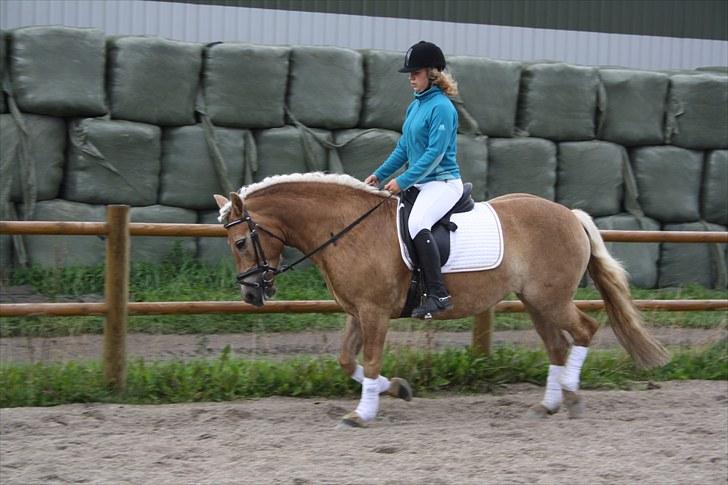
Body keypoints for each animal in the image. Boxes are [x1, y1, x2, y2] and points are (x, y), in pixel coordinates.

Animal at [213, 171, 668, 428]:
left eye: (240, 242)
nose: (251, 293)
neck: (346, 228)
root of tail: (569, 215)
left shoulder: (375, 313)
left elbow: (370, 360)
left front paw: (363, 413)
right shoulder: (358, 311)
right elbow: (347, 360)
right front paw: (396, 389)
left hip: (550, 299)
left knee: (586, 331)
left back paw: (571, 394)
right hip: (536, 302)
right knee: (557, 346)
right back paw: (548, 406)